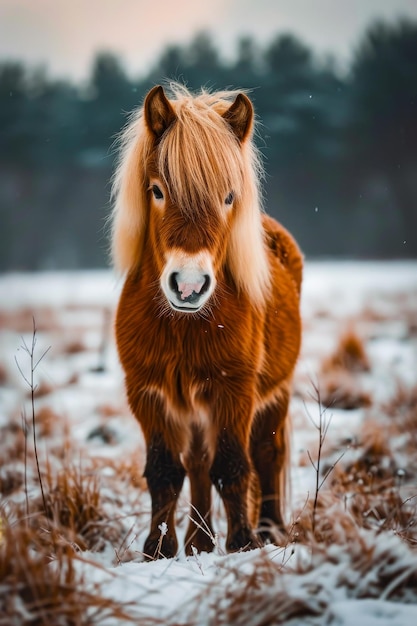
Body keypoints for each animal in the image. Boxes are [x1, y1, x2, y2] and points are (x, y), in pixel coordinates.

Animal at [110, 83, 300, 556]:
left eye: (229, 196)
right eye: (157, 191)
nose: (189, 285)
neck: (185, 324)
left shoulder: (235, 389)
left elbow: (232, 466)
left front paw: (244, 544)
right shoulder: (148, 392)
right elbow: (165, 471)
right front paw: (158, 551)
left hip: (275, 394)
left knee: (267, 456)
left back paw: (269, 530)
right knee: (196, 464)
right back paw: (199, 541)